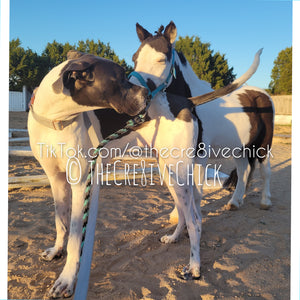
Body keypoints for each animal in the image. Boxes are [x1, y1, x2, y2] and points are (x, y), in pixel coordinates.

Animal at [129, 21, 274, 223]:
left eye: (160, 59)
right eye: (135, 58)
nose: (133, 99)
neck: (190, 104)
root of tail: (261, 93)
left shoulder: (200, 156)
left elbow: (195, 192)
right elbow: (175, 187)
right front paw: (177, 216)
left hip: (264, 144)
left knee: (265, 171)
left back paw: (265, 202)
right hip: (240, 147)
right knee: (243, 170)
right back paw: (235, 202)